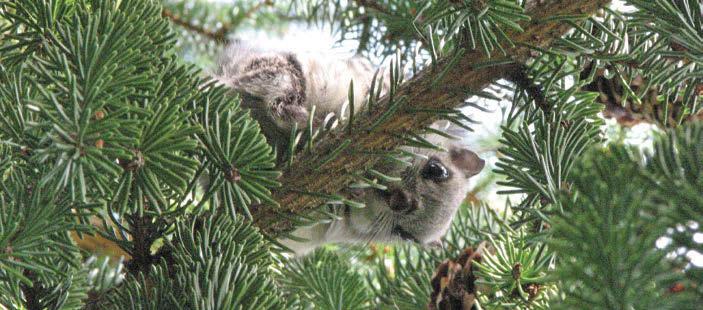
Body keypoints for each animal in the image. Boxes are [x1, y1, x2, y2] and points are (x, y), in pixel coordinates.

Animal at [214, 42, 486, 256]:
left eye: (404, 235)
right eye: (436, 170)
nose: (401, 202)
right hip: (290, 73)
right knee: (279, 96)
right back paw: (308, 121)